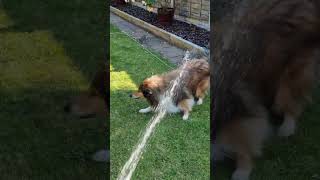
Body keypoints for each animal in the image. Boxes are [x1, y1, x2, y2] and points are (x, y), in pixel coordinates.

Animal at [212, 0, 320, 179]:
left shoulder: (239, 113)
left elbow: (242, 147)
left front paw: (242, 171)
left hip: (290, 75)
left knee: (291, 102)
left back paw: (287, 127)